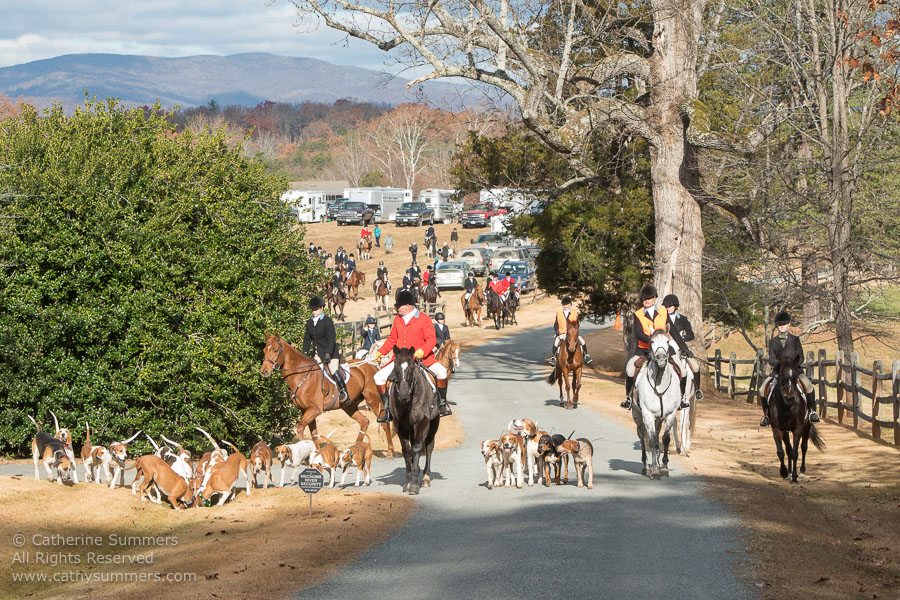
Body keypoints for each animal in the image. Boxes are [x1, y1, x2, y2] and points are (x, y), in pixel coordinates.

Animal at [260, 332, 394, 454]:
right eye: (264, 350)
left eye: (276, 350)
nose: (264, 371)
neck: (302, 376)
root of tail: (372, 365)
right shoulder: (305, 410)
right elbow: (314, 434)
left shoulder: (314, 409)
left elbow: (300, 427)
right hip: (349, 405)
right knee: (364, 422)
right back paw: (357, 447)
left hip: (373, 399)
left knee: (384, 423)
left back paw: (390, 451)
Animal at [386, 344, 442, 494]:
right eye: (395, 367)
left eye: (411, 368)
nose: (403, 396)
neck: (408, 403)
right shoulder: (401, 425)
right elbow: (406, 450)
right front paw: (408, 481)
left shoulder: (422, 423)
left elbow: (416, 448)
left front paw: (415, 483)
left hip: (433, 424)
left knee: (429, 447)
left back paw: (426, 477)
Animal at [632, 330, 684, 480]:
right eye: (652, 341)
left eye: (667, 341)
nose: (661, 358)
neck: (660, 382)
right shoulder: (648, 414)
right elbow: (653, 441)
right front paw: (655, 469)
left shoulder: (670, 414)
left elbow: (665, 439)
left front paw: (664, 467)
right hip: (638, 415)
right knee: (642, 436)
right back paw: (645, 466)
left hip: (659, 419)